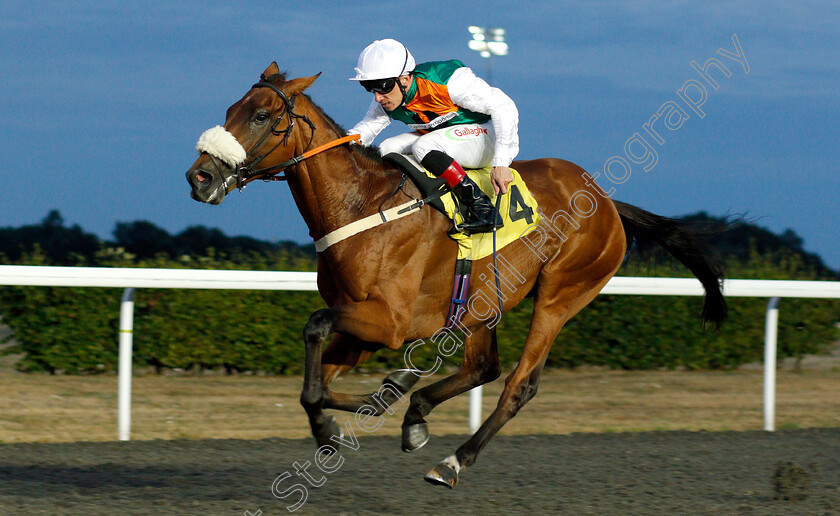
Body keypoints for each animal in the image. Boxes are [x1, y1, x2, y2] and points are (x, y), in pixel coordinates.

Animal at [185, 62, 728, 486]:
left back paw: (452, 461)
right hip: (483, 300)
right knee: (483, 367)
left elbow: (314, 331)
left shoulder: (389, 320)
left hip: (561, 294)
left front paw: (337, 425)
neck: (362, 207)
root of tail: (609, 203)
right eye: (230, 110)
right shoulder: (362, 325)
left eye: (261, 115)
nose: (200, 177)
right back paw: (414, 406)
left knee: (518, 384)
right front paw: (376, 400)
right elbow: (318, 381)